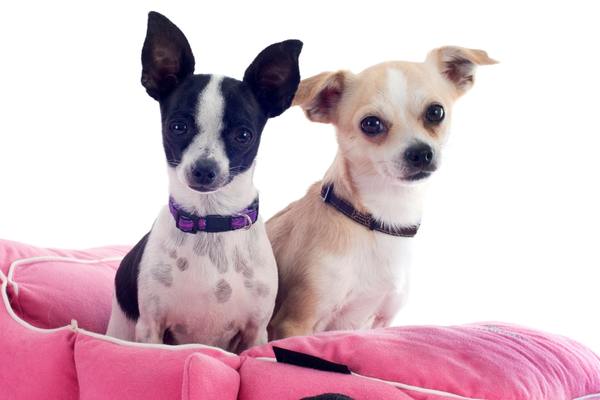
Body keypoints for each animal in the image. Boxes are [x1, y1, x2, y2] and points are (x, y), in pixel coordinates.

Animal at [105, 10, 302, 352]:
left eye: (244, 135)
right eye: (178, 127)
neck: (212, 221)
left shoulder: (255, 333)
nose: (204, 169)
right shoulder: (151, 329)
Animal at [270, 47, 494, 340]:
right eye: (371, 124)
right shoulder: (294, 323)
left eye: (436, 112)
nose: (420, 152)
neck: (379, 221)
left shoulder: (378, 323)